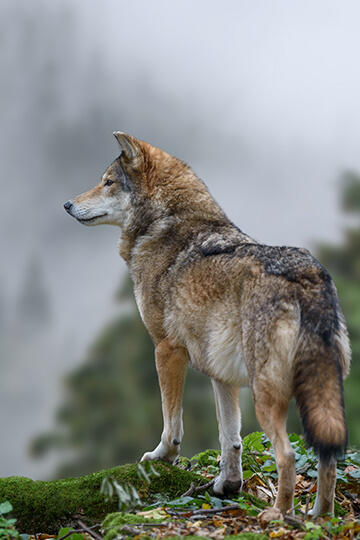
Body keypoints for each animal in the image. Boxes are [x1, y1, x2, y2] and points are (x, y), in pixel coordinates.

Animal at [63, 132, 350, 520]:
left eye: (107, 182)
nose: (67, 204)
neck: (166, 226)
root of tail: (306, 277)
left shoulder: (166, 349)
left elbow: (172, 423)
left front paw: (162, 457)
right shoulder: (220, 373)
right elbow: (231, 438)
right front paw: (228, 485)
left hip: (266, 395)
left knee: (288, 455)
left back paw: (278, 514)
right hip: (319, 394)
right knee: (327, 456)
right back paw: (319, 516)